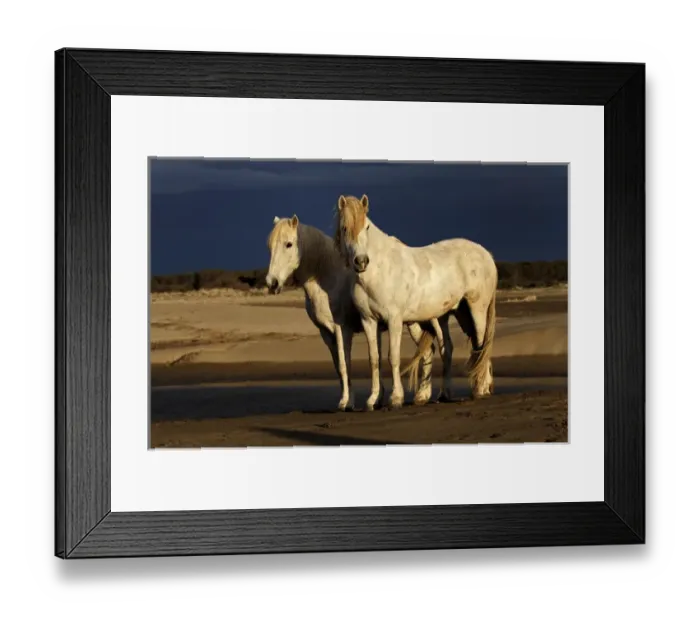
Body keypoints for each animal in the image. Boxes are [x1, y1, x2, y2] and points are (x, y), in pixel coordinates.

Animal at [264, 215, 448, 411]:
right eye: (270, 246)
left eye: (289, 244)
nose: (272, 283)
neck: (328, 277)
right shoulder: (327, 334)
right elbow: (343, 365)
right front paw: (373, 398)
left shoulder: (342, 328)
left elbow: (346, 364)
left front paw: (347, 402)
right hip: (414, 322)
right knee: (428, 350)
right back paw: (422, 395)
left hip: (434, 321)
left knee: (443, 348)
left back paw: (440, 394)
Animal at [333, 194, 498, 410]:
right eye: (345, 228)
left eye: (366, 226)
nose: (361, 262)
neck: (378, 271)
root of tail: (486, 254)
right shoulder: (369, 321)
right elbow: (374, 359)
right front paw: (372, 400)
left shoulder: (394, 320)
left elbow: (393, 357)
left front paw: (396, 398)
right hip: (450, 315)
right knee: (449, 349)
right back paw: (445, 393)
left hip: (476, 310)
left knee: (481, 343)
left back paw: (480, 389)